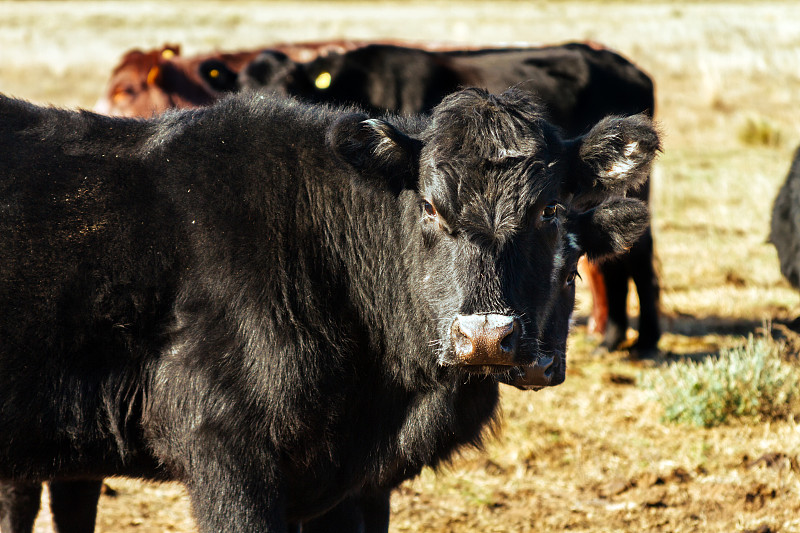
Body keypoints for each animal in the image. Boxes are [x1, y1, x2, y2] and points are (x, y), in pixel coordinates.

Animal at [234, 42, 664, 354]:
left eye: (549, 209)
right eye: (428, 206)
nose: (263, 105)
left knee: (638, 256)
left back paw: (643, 341)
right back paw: (611, 338)